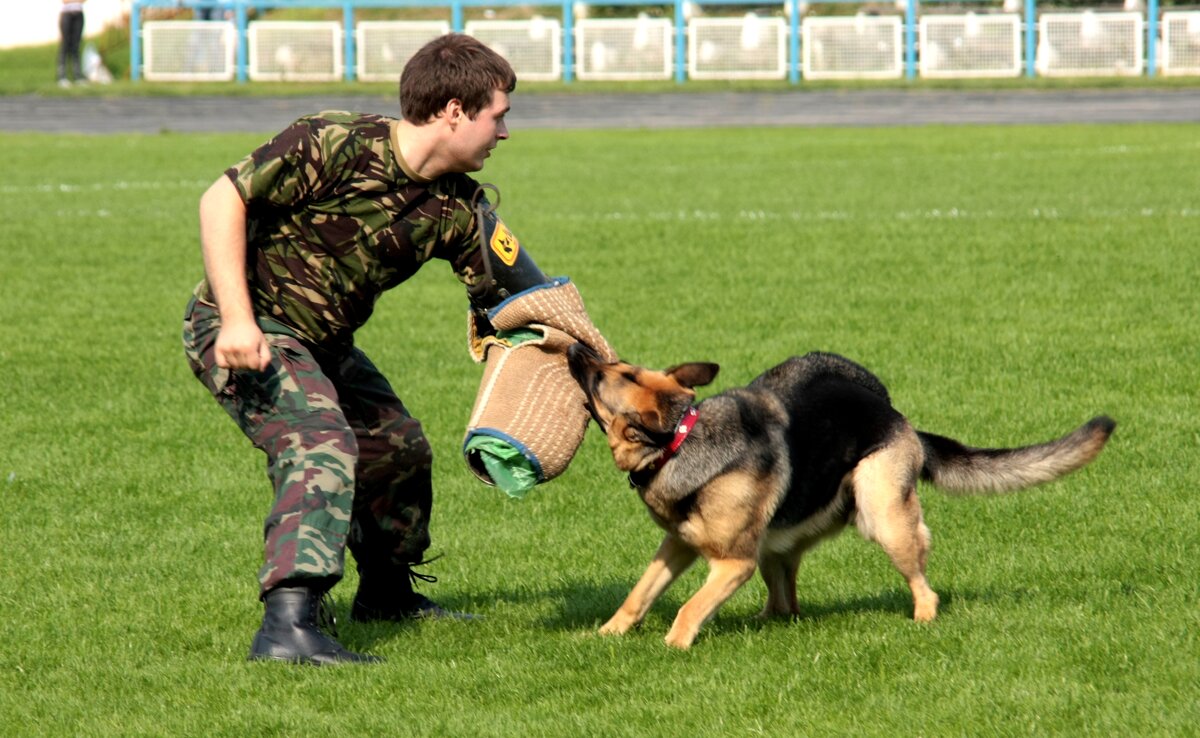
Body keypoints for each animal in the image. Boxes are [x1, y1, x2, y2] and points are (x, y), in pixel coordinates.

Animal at [566, 345, 1108, 648]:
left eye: (615, 374)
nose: (573, 351)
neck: (681, 439)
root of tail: (900, 418)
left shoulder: (733, 562)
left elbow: (689, 607)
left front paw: (674, 646)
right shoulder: (678, 545)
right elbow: (640, 593)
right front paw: (607, 634)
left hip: (881, 511)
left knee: (921, 577)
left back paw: (923, 617)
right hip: (778, 542)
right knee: (785, 601)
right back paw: (766, 621)